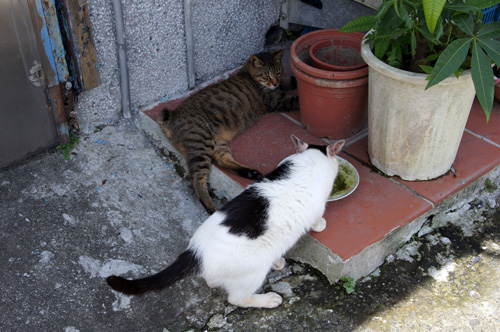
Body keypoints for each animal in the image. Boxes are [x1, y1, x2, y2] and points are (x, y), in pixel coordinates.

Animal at [107, 135, 346, 308]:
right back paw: (268, 299)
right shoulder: (317, 206)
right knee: (237, 298)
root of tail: (195, 252)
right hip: (254, 271)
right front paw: (320, 225)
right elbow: (317, 219)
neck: (308, 161)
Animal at [157, 50, 296, 214]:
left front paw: (292, 80)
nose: (274, 83)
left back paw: (249, 172)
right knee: (197, 180)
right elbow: (296, 99)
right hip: (201, 145)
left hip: (216, 143)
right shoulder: (278, 100)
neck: (247, 74)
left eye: (279, 72)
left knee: (222, 160)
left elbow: (289, 83)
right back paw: (211, 206)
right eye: (267, 75)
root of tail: (172, 116)